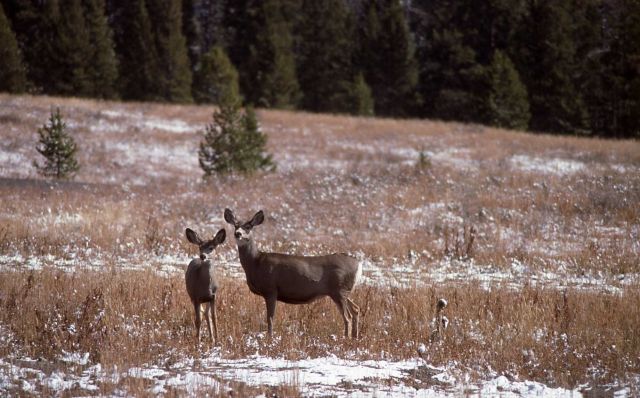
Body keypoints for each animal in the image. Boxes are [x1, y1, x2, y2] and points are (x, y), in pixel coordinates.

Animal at [224, 210, 362, 338]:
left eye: (248, 226)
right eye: (235, 225)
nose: (238, 233)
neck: (255, 263)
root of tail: (358, 263)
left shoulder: (271, 289)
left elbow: (270, 318)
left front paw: (270, 338)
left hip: (339, 290)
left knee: (348, 316)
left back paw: (345, 339)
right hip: (343, 291)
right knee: (356, 309)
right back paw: (354, 337)